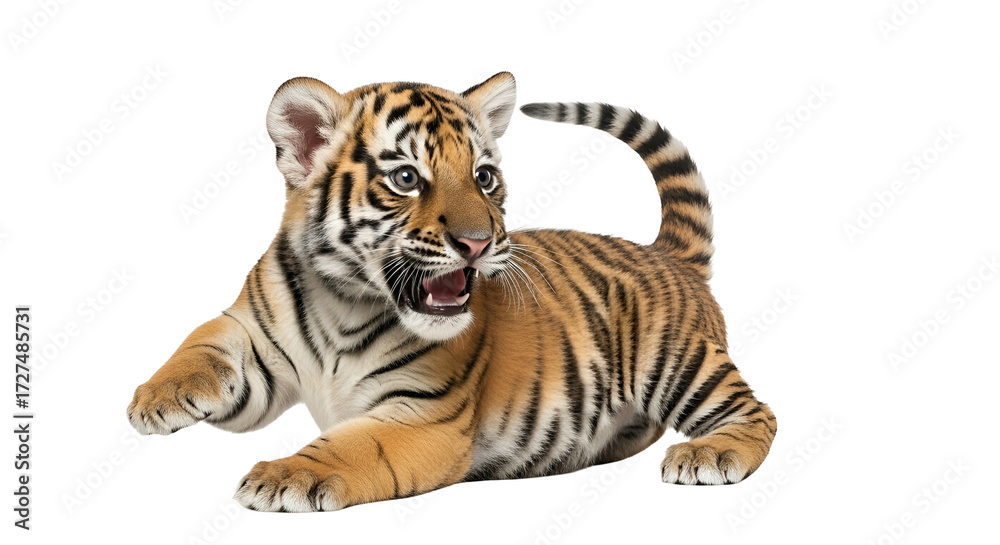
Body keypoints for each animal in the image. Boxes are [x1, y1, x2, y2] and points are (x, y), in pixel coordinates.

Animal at [126, 72, 777, 512]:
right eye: (406, 178)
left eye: (483, 177)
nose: (478, 242)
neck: (344, 301)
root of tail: (665, 252)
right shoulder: (256, 346)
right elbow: (205, 341)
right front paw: (158, 398)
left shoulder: (422, 416)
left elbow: (348, 447)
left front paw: (284, 477)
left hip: (676, 359)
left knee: (758, 413)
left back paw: (708, 456)